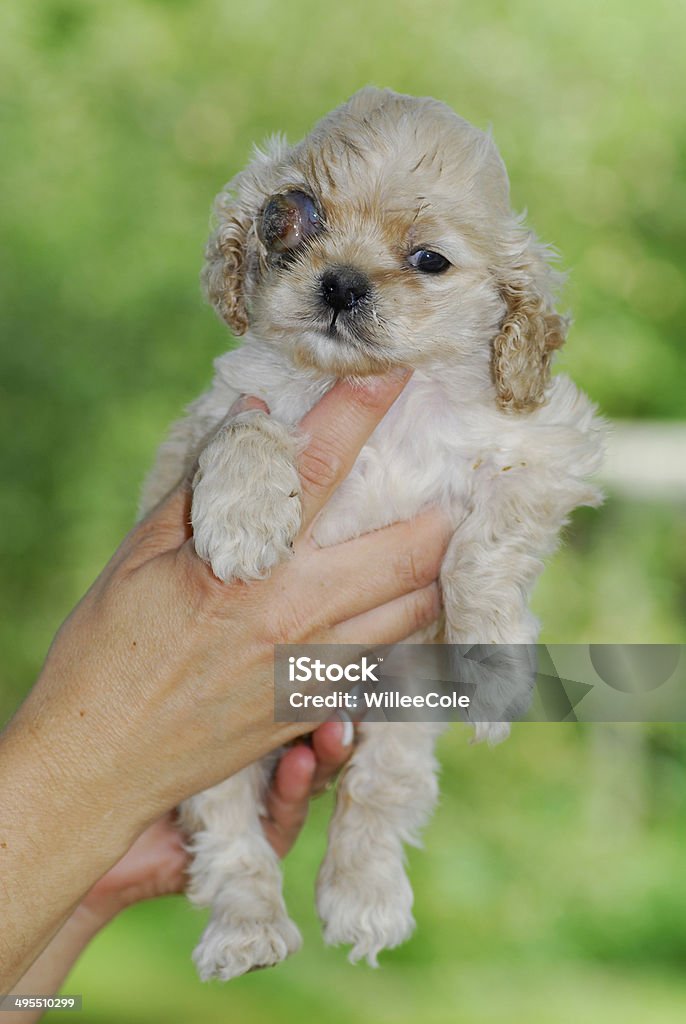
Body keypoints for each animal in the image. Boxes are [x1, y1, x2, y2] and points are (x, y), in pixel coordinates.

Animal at [142, 92, 606, 978]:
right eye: (292, 220)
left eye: (428, 259)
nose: (341, 282)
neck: (380, 401)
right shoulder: (217, 418)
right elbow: (247, 433)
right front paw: (245, 525)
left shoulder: (544, 453)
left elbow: (483, 554)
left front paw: (493, 671)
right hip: (206, 761)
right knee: (230, 841)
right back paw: (248, 931)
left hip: (399, 717)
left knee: (377, 796)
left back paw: (366, 902)